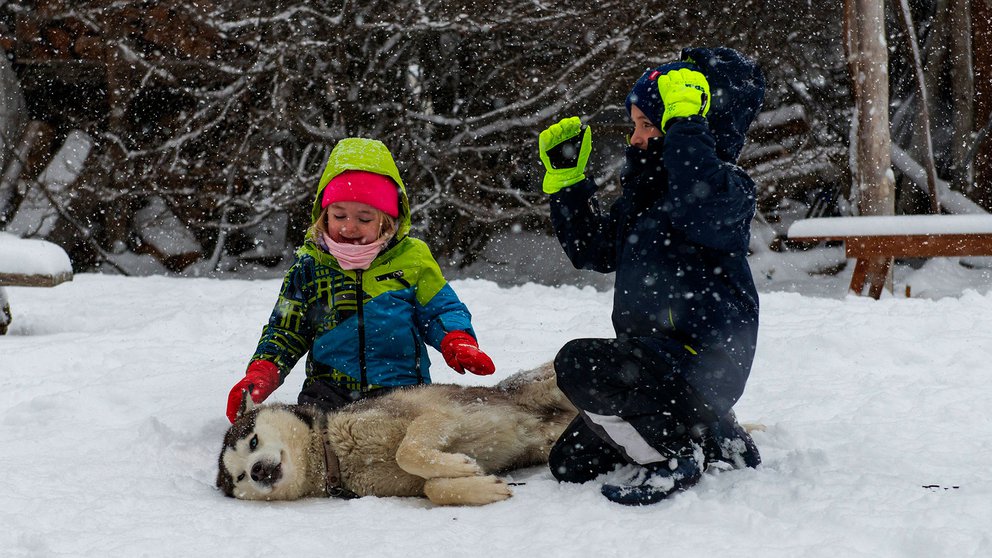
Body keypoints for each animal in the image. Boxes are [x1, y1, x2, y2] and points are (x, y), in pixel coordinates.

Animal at [215, 364, 572, 508]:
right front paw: (481, 485)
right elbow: (432, 489)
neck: (334, 454)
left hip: (549, 384)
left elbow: (407, 452)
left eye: (253, 441)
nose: (258, 470)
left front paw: (460, 467)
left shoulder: (432, 416)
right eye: (241, 476)